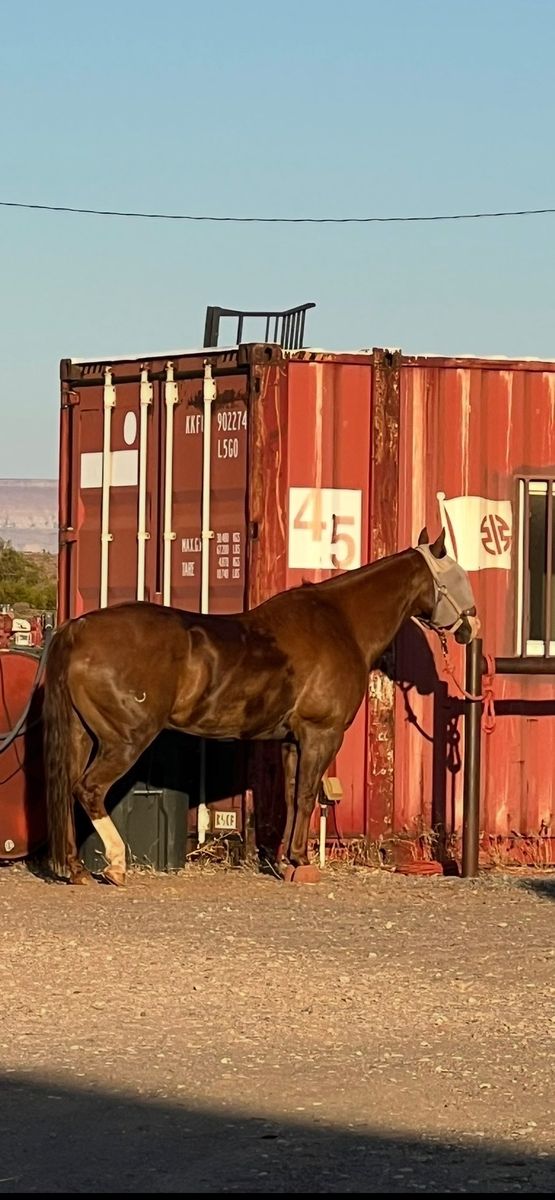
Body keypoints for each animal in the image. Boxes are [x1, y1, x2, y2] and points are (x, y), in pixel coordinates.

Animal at [43, 527, 479, 886]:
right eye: (458, 576)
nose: (472, 628)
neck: (341, 623)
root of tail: (77, 629)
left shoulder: (290, 740)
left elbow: (290, 796)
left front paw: (286, 861)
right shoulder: (321, 734)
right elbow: (306, 796)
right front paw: (302, 862)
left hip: (83, 736)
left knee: (66, 790)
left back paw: (77, 869)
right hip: (126, 740)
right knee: (89, 790)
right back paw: (116, 866)